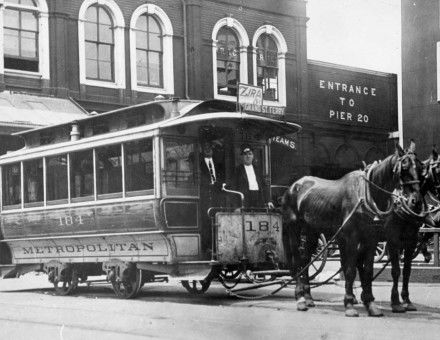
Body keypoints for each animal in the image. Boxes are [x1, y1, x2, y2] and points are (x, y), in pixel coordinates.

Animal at [282, 143, 422, 316]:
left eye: (421, 168)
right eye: (404, 167)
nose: (416, 201)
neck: (365, 193)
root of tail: (294, 187)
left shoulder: (371, 238)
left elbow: (367, 270)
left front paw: (370, 303)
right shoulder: (353, 237)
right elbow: (350, 269)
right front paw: (349, 303)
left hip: (311, 231)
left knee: (306, 259)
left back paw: (308, 297)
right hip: (294, 228)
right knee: (297, 260)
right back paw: (300, 298)